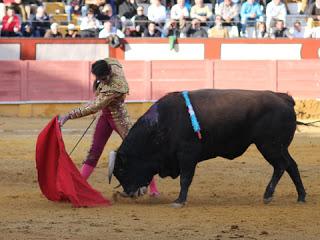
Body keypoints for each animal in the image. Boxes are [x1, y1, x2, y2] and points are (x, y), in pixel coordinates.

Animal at [109, 89, 306, 207]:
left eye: (122, 169)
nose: (129, 193)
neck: (161, 125)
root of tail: (284, 98)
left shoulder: (187, 155)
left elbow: (185, 178)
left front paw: (179, 201)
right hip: (278, 147)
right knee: (292, 165)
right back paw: (301, 197)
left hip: (269, 145)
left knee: (281, 166)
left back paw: (268, 195)